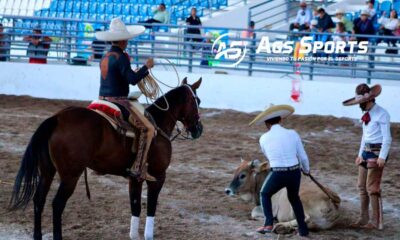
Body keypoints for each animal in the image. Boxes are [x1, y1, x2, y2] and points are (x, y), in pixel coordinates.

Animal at [8, 78, 203, 240]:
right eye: (197, 101)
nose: (198, 129)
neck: (158, 125)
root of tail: (57, 118)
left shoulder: (135, 179)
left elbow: (135, 206)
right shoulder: (158, 176)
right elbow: (151, 206)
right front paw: (148, 236)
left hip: (47, 172)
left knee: (38, 200)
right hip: (70, 176)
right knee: (57, 204)